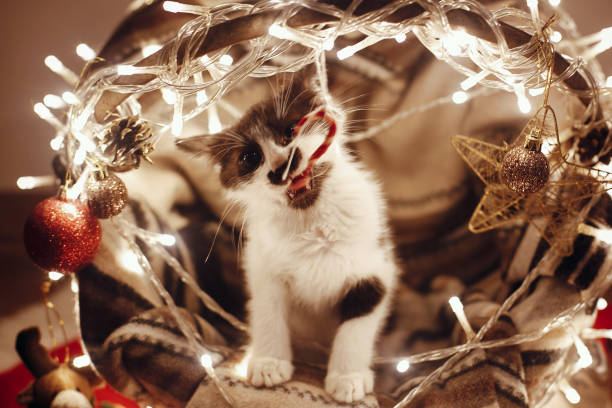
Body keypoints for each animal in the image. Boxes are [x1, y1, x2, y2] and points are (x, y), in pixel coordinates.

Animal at [178, 73, 396, 402]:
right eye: (250, 157)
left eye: (290, 130)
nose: (283, 164)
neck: (310, 218)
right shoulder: (263, 266)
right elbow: (269, 312)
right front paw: (269, 363)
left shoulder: (373, 268)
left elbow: (357, 326)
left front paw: (348, 377)